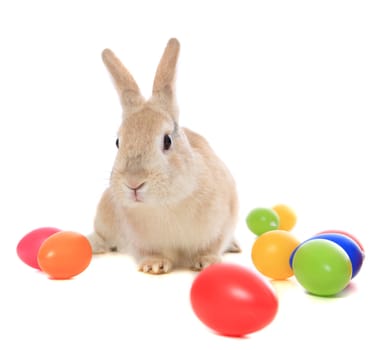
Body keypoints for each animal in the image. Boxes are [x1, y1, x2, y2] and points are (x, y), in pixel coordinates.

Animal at [88, 38, 243, 274]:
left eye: (167, 140)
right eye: (117, 142)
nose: (134, 183)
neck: (166, 203)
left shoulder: (224, 221)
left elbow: (212, 246)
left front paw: (206, 262)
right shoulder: (140, 241)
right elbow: (151, 253)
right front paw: (153, 265)